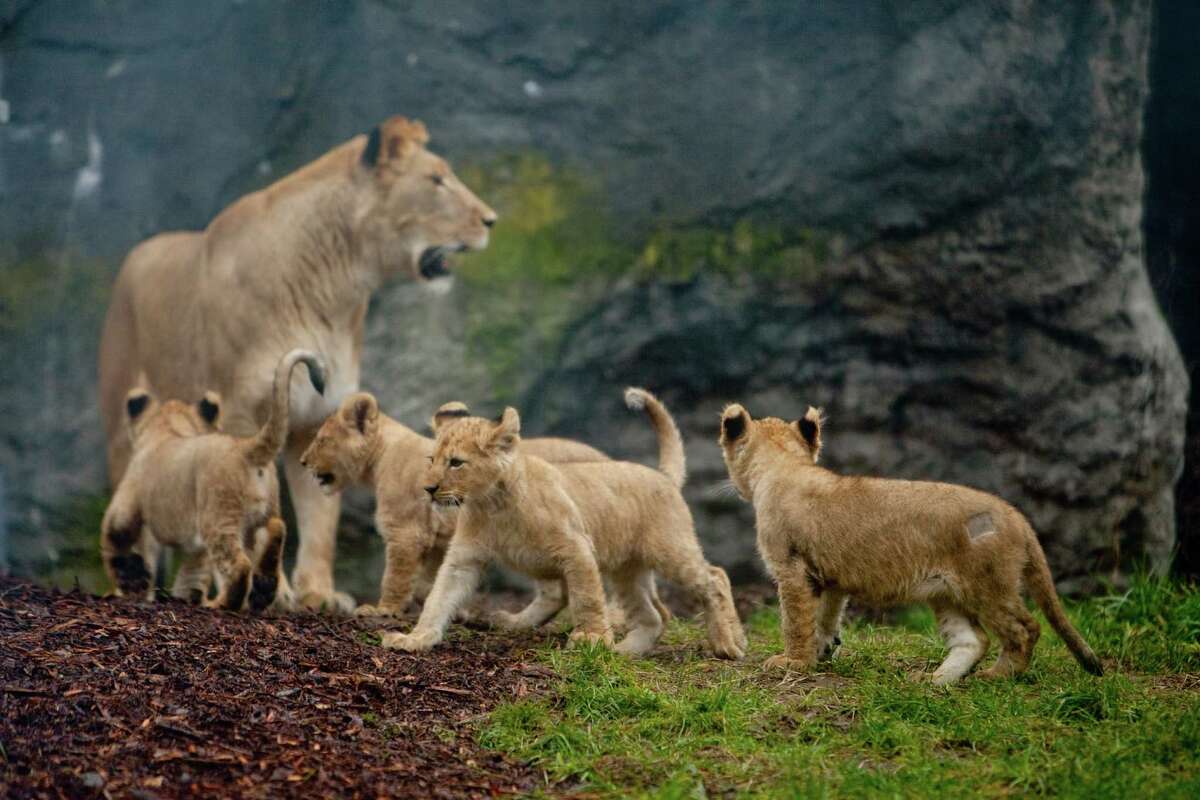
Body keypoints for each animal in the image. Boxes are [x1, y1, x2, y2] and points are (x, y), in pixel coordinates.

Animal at [100, 349, 325, 612]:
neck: (168, 429)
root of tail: (246, 447)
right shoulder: (195, 548)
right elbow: (191, 575)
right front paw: (182, 596)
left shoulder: (127, 501)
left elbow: (114, 536)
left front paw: (130, 577)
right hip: (263, 511)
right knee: (276, 527)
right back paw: (263, 588)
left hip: (218, 518)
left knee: (239, 565)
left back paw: (221, 603)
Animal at [298, 394, 673, 625]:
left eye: (321, 440)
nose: (302, 461)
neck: (381, 458)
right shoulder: (439, 542)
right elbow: (429, 584)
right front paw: (455, 612)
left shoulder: (406, 534)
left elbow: (396, 577)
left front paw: (382, 611)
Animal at [380, 388, 745, 659]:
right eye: (432, 459)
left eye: (456, 463)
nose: (428, 488)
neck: (492, 505)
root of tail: (662, 476)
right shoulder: (463, 558)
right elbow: (438, 598)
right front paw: (416, 638)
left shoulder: (576, 547)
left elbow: (586, 596)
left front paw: (591, 639)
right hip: (626, 570)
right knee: (654, 615)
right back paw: (625, 651)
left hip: (669, 549)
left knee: (715, 577)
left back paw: (728, 643)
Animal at [718, 403, 1103, 683]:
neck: (783, 466)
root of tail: (1017, 517)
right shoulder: (829, 577)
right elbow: (825, 616)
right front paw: (823, 649)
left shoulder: (792, 569)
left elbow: (795, 620)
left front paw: (792, 663)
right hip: (947, 593)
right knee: (973, 640)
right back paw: (936, 680)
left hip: (987, 584)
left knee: (1025, 629)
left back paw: (996, 676)